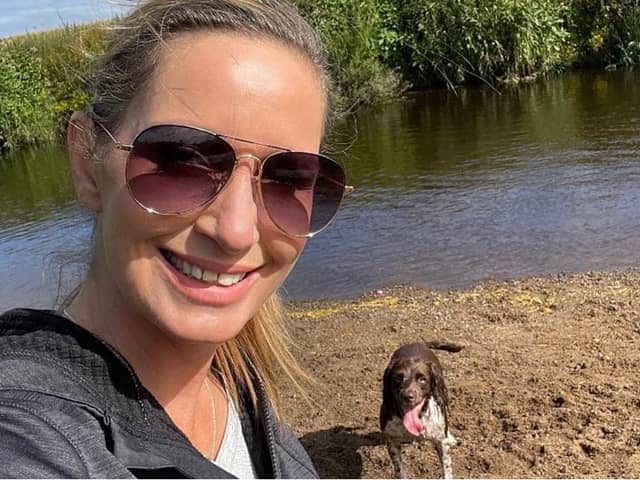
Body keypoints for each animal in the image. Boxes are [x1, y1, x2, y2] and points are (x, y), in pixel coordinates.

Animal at [378, 340, 462, 478]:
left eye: (422, 379)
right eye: (398, 378)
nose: (407, 396)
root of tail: (418, 342)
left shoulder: (440, 442)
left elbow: (446, 468)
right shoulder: (391, 441)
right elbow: (399, 469)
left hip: (444, 395)